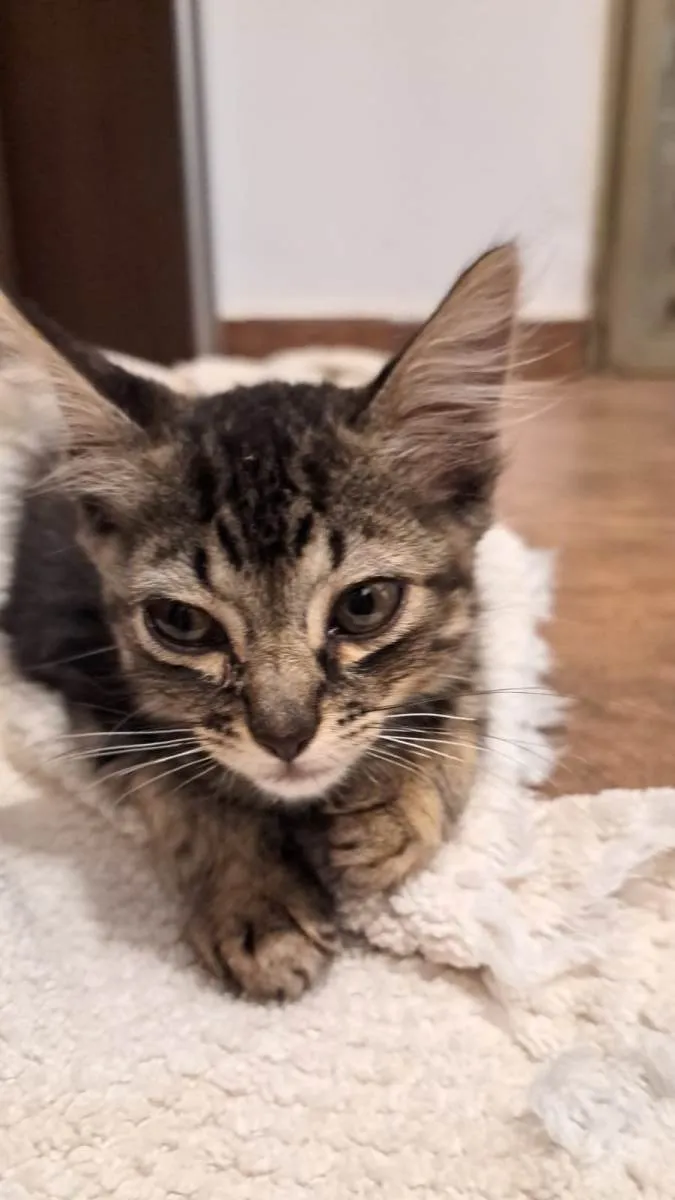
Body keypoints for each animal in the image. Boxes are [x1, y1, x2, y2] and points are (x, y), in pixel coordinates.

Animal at [0, 245, 518, 1001]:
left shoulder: (470, 628)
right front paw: (257, 900)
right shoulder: (85, 670)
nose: (284, 737)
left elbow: (462, 708)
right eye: (181, 622)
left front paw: (393, 812)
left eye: (365, 605)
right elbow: (181, 783)